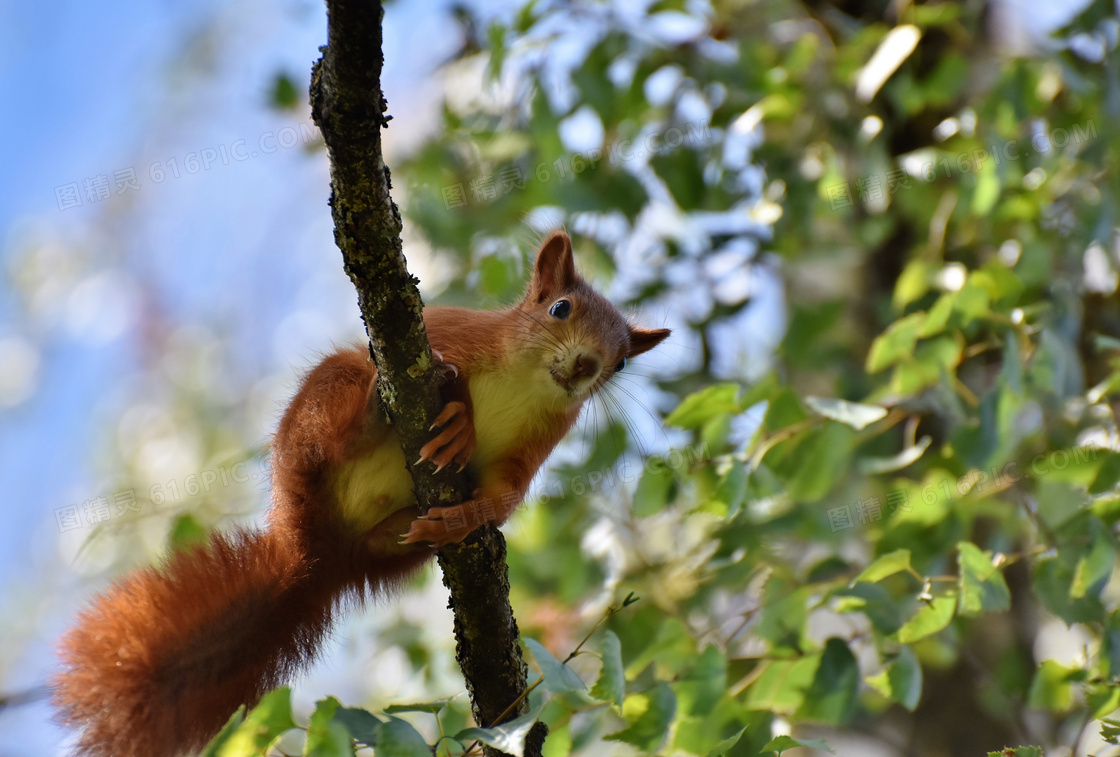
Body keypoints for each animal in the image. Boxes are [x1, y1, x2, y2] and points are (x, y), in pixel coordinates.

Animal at [50, 231, 663, 757]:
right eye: (560, 309)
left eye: (621, 363)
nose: (586, 366)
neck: (527, 383)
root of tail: (313, 553)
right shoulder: (451, 334)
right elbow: (440, 365)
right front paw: (462, 418)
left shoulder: (529, 451)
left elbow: (502, 498)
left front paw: (465, 519)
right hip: (325, 401)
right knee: (336, 428)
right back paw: (369, 417)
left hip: (381, 543)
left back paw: (421, 523)